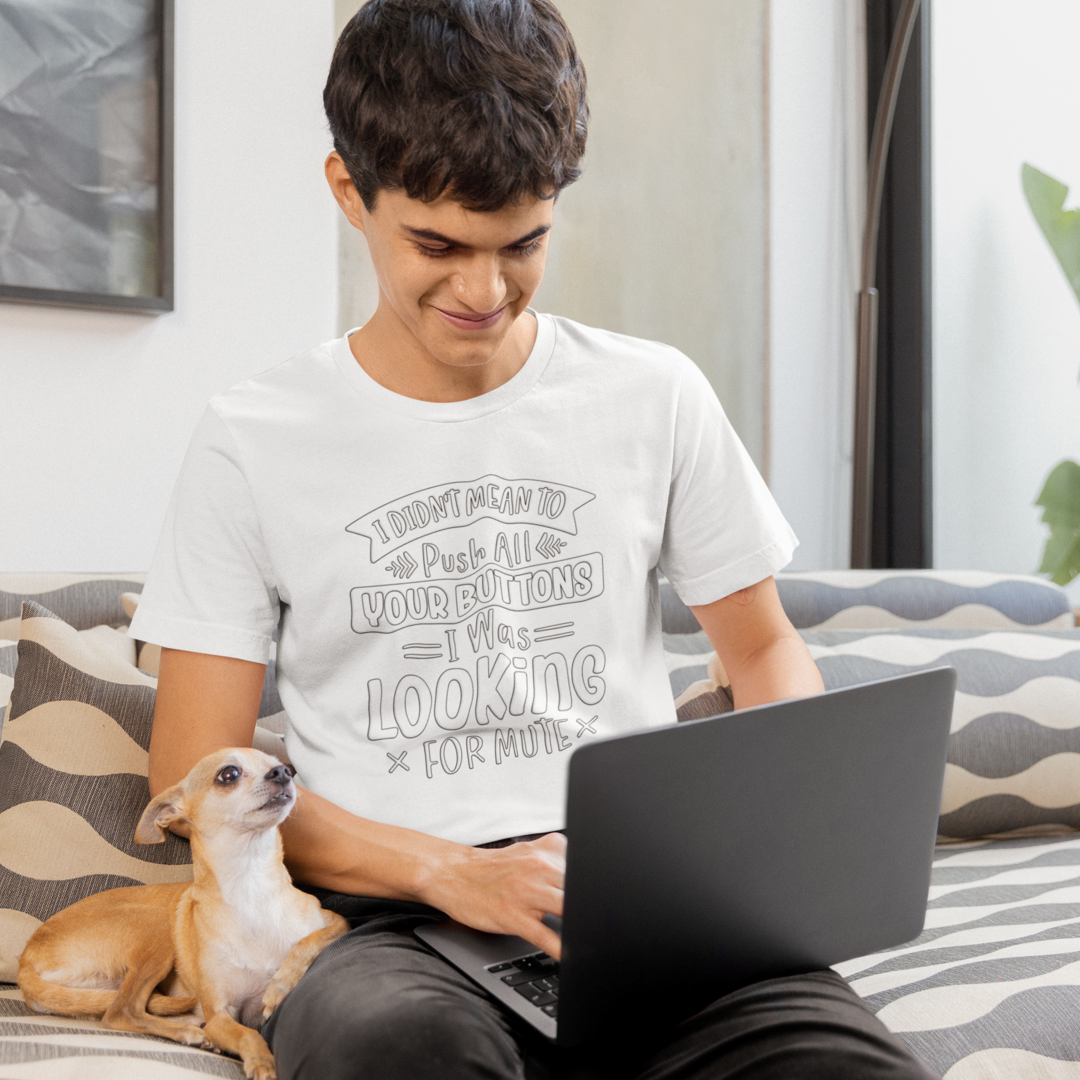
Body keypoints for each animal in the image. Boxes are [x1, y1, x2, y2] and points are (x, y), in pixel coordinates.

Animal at [16, 751, 347, 1080]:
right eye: (228, 774)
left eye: (286, 766)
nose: (284, 773)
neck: (250, 885)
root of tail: (25, 962)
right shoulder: (220, 1015)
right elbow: (248, 1035)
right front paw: (263, 1064)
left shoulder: (336, 923)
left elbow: (307, 942)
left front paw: (280, 987)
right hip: (157, 926)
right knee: (120, 1012)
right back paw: (189, 1031)